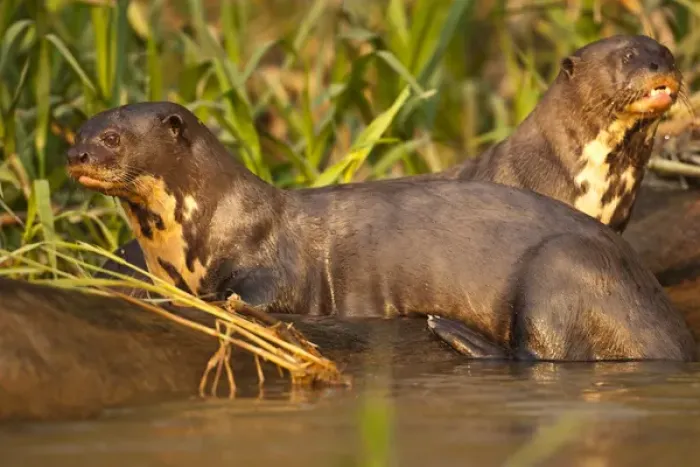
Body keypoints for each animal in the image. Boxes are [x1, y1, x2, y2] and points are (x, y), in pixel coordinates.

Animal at [65, 101, 695, 362]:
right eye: (79, 130)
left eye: (113, 138)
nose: (75, 155)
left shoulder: (274, 267)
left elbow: (253, 296)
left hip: (562, 268)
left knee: (546, 354)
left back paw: (451, 332)